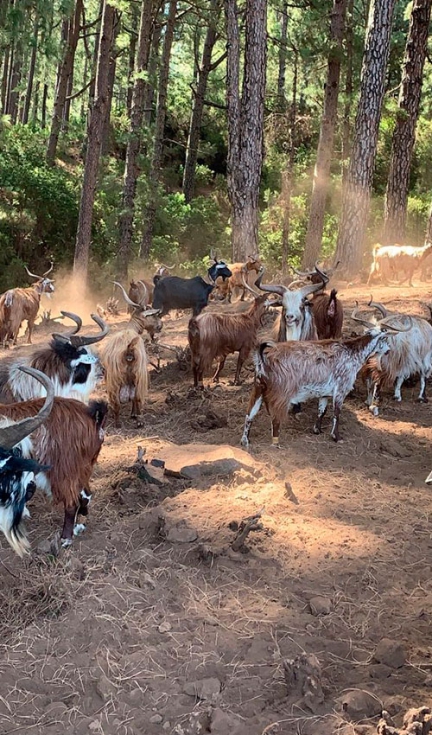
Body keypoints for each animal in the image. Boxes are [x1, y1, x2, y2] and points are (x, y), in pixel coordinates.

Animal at [100, 282, 161, 426]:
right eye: (153, 315)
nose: (160, 326)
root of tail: (129, 348)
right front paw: (133, 414)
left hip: (116, 378)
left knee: (117, 401)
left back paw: (119, 422)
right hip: (134, 375)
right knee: (134, 397)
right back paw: (137, 420)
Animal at [241, 312, 410, 448]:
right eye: (385, 338)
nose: (388, 350)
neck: (352, 352)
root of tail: (263, 361)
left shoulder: (324, 393)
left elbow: (322, 411)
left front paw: (317, 430)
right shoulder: (341, 389)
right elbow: (337, 412)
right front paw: (336, 437)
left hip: (258, 389)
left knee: (250, 414)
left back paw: (245, 441)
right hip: (280, 394)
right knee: (275, 418)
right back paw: (276, 443)